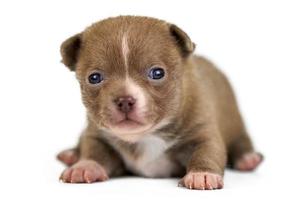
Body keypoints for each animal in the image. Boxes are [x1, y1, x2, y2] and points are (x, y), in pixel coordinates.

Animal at [56, 16, 262, 190]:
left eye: (157, 73)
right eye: (94, 78)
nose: (124, 100)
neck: (145, 136)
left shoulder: (202, 131)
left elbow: (207, 151)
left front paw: (202, 174)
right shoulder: (97, 134)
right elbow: (94, 151)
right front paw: (85, 166)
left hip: (235, 120)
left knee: (241, 140)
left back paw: (247, 159)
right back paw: (72, 154)